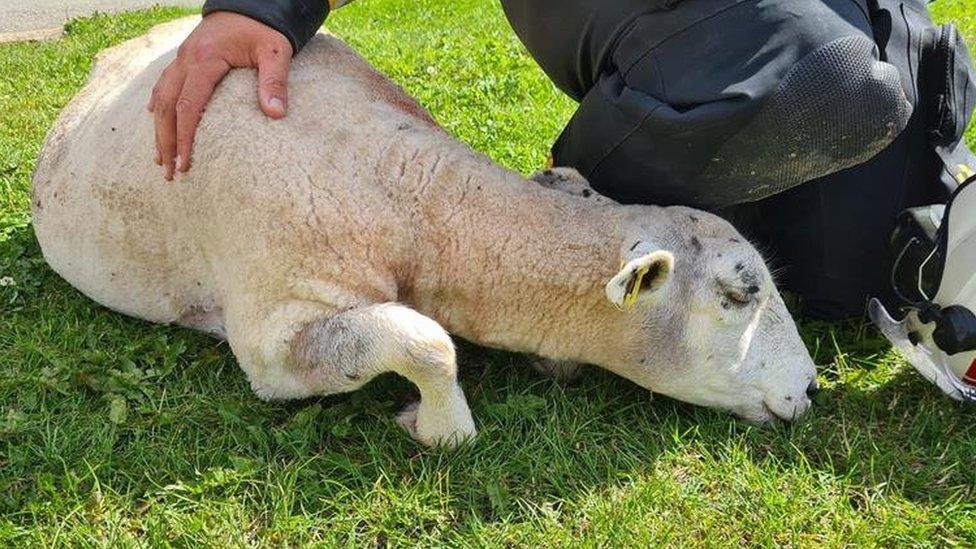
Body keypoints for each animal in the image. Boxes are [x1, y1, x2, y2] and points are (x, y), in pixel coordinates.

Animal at [30, 18, 820, 446]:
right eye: (738, 295)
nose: (812, 387)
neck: (410, 191)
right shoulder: (273, 335)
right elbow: (428, 342)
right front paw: (436, 425)